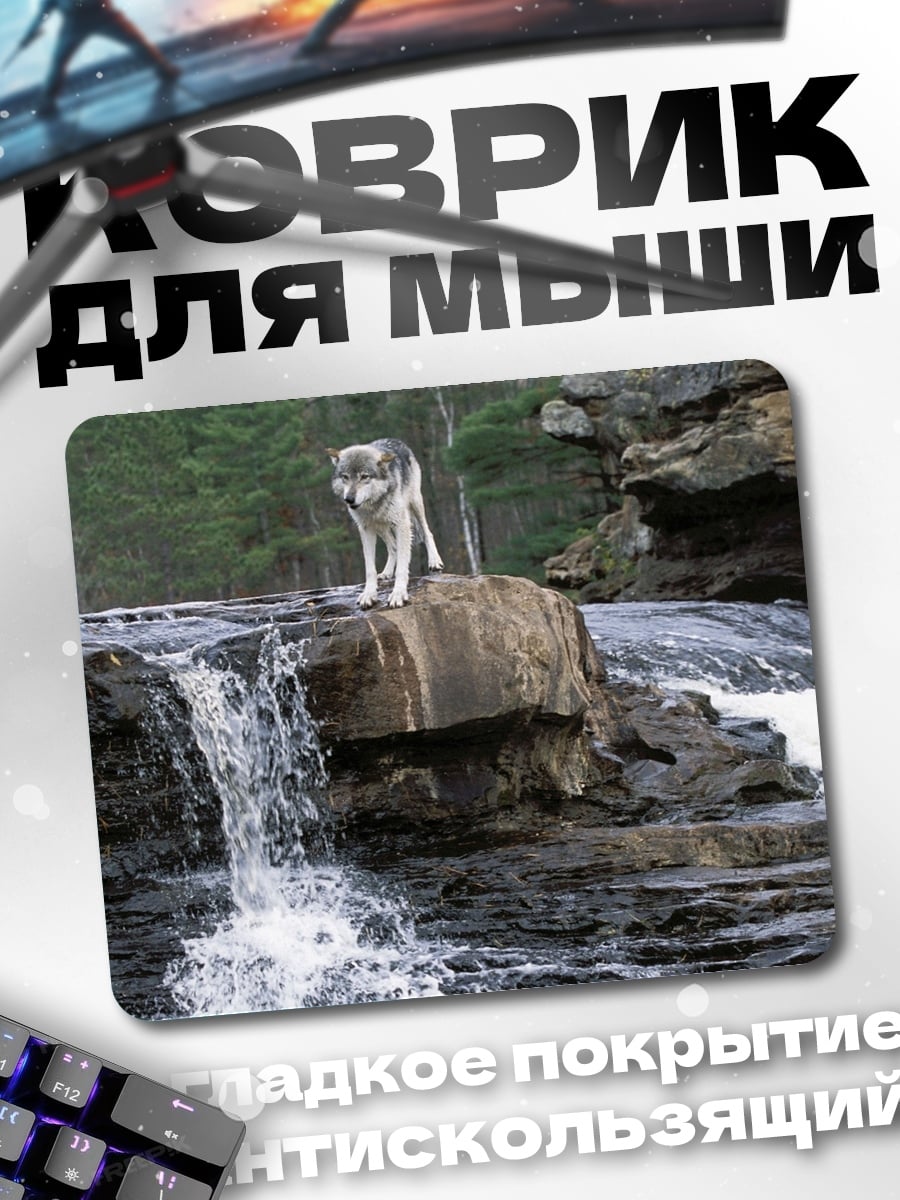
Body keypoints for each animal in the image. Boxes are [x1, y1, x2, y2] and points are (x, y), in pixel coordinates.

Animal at [327, 439, 444, 609]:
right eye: (345, 477)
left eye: (364, 476)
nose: (349, 499)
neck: (374, 503)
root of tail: (397, 441)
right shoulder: (366, 529)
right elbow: (370, 569)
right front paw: (369, 594)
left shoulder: (402, 524)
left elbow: (402, 566)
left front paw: (398, 594)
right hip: (381, 525)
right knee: (393, 546)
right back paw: (387, 573)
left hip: (415, 504)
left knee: (427, 533)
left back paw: (435, 561)